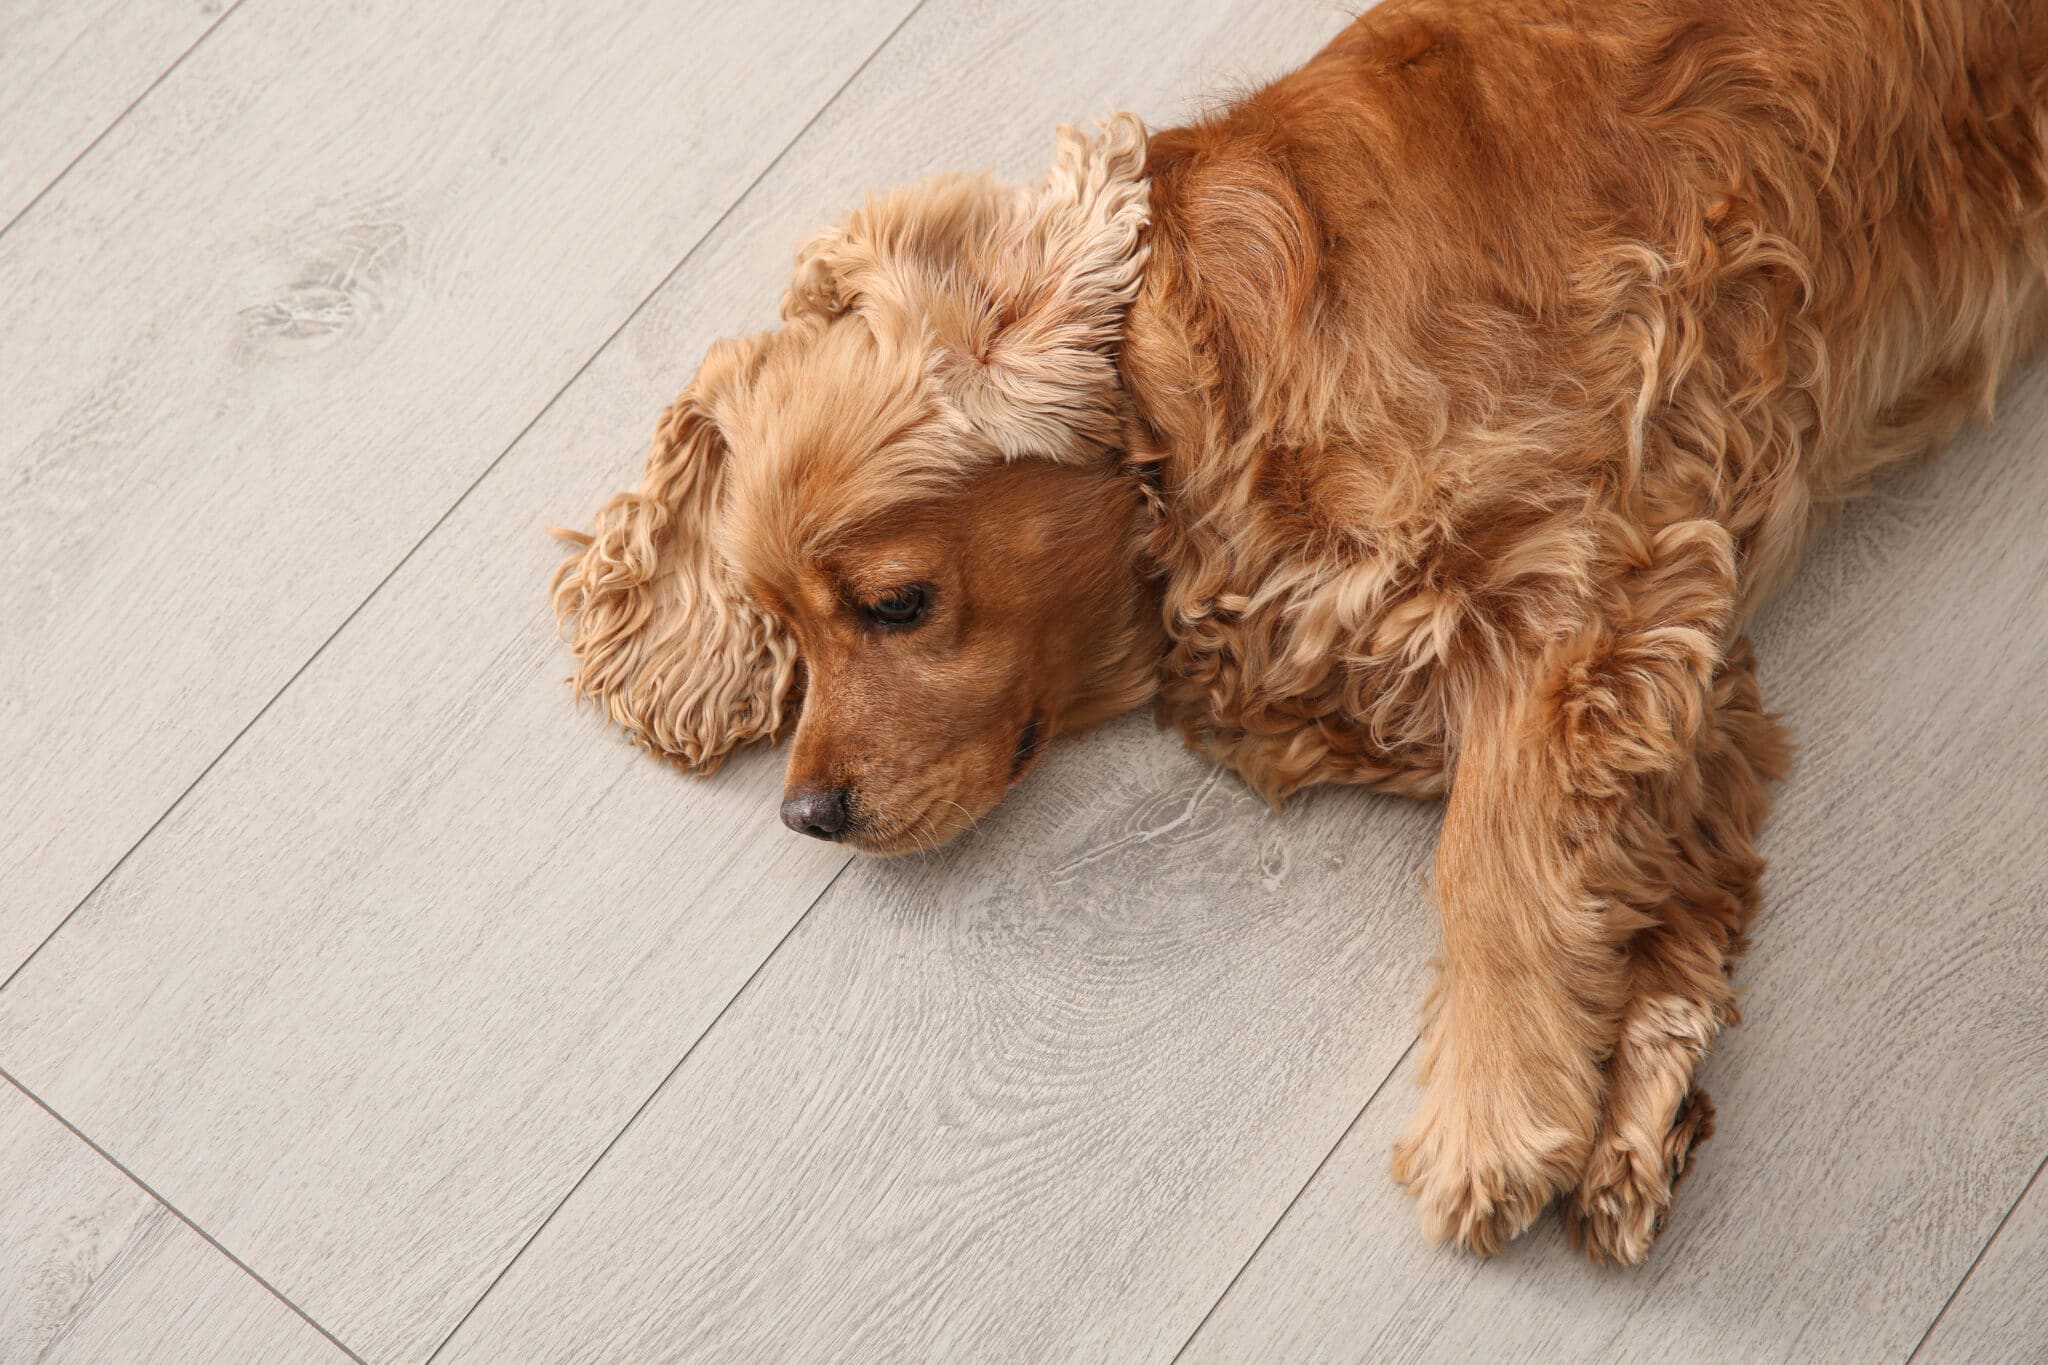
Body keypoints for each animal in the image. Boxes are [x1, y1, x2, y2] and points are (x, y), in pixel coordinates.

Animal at [544, 0, 2048, 1268]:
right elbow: (1658, 867)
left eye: (896, 604)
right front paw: (1632, 1105)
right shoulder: (1685, 669)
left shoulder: (1588, 583)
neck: (1210, 393)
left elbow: (1495, 859)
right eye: (778, 623)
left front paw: (1497, 1117)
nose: (808, 814)